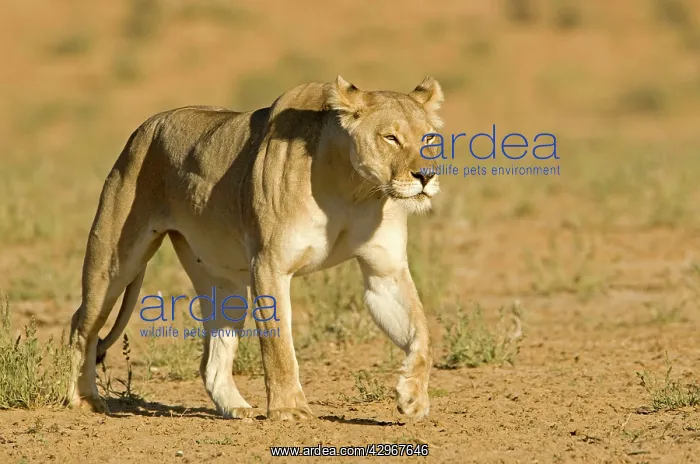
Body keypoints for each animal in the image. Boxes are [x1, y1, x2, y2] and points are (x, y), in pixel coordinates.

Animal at [67, 75, 444, 421]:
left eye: (428, 138)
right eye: (390, 137)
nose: (425, 176)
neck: (354, 188)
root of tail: (145, 127)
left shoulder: (385, 272)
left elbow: (422, 335)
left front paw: (413, 397)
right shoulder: (270, 265)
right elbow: (278, 345)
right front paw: (289, 409)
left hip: (223, 284)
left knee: (211, 360)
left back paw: (237, 409)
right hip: (114, 263)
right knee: (81, 326)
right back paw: (84, 399)